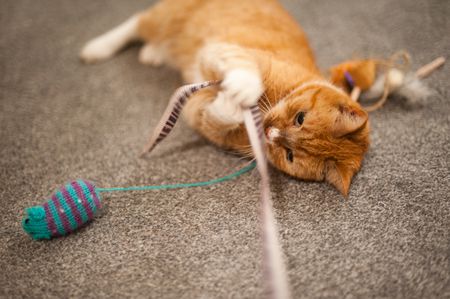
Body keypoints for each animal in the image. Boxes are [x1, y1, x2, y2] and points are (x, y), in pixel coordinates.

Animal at [81, 0, 370, 197]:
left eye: (289, 155)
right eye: (300, 118)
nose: (269, 131)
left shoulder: (199, 113)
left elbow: (217, 115)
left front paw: (230, 103)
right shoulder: (225, 51)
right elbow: (246, 75)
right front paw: (242, 89)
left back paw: (152, 53)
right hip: (167, 18)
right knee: (136, 22)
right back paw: (97, 48)